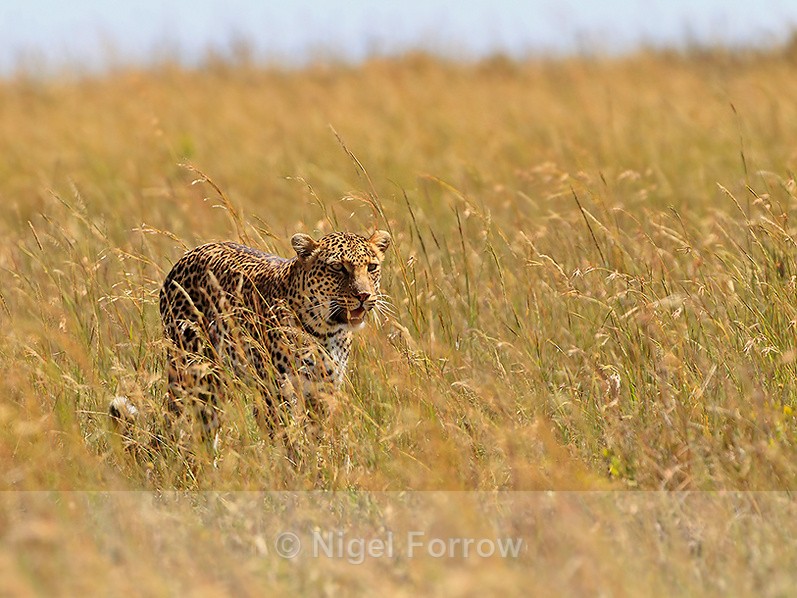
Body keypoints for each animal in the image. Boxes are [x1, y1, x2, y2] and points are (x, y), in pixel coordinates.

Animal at [110, 229, 391, 445]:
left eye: (372, 267)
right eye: (337, 268)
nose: (364, 295)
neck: (326, 330)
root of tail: (187, 255)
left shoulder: (325, 391)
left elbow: (317, 439)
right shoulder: (277, 394)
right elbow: (289, 441)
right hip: (190, 372)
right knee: (177, 422)